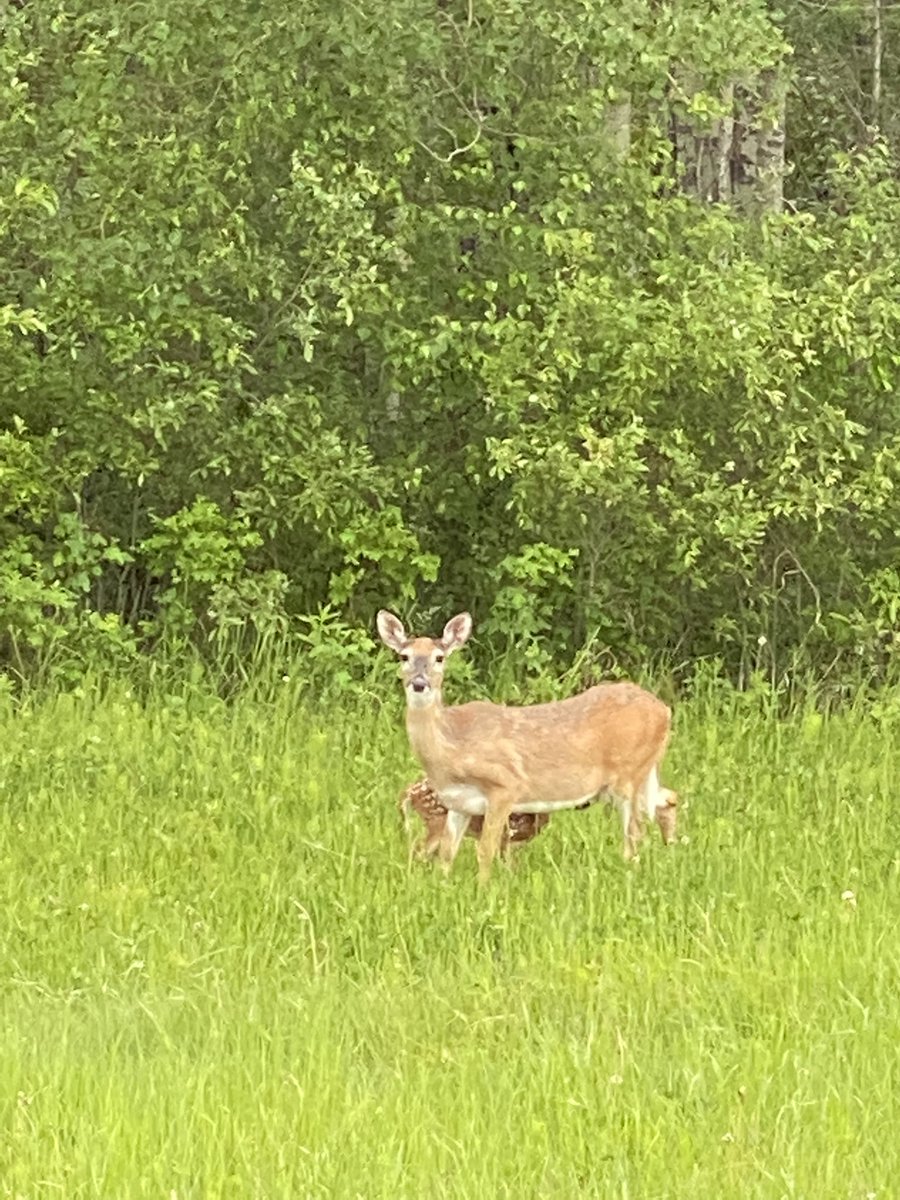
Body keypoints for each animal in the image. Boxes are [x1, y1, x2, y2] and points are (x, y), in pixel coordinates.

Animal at [377, 610, 678, 883]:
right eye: (404, 656)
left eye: (439, 658)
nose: (419, 683)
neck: (453, 747)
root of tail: (664, 710)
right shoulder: (458, 803)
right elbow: (447, 854)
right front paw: (443, 887)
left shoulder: (504, 787)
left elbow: (485, 851)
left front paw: (482, 891)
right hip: (636, 776)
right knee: (667, 801)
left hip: (629, 773)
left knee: (635, 833)